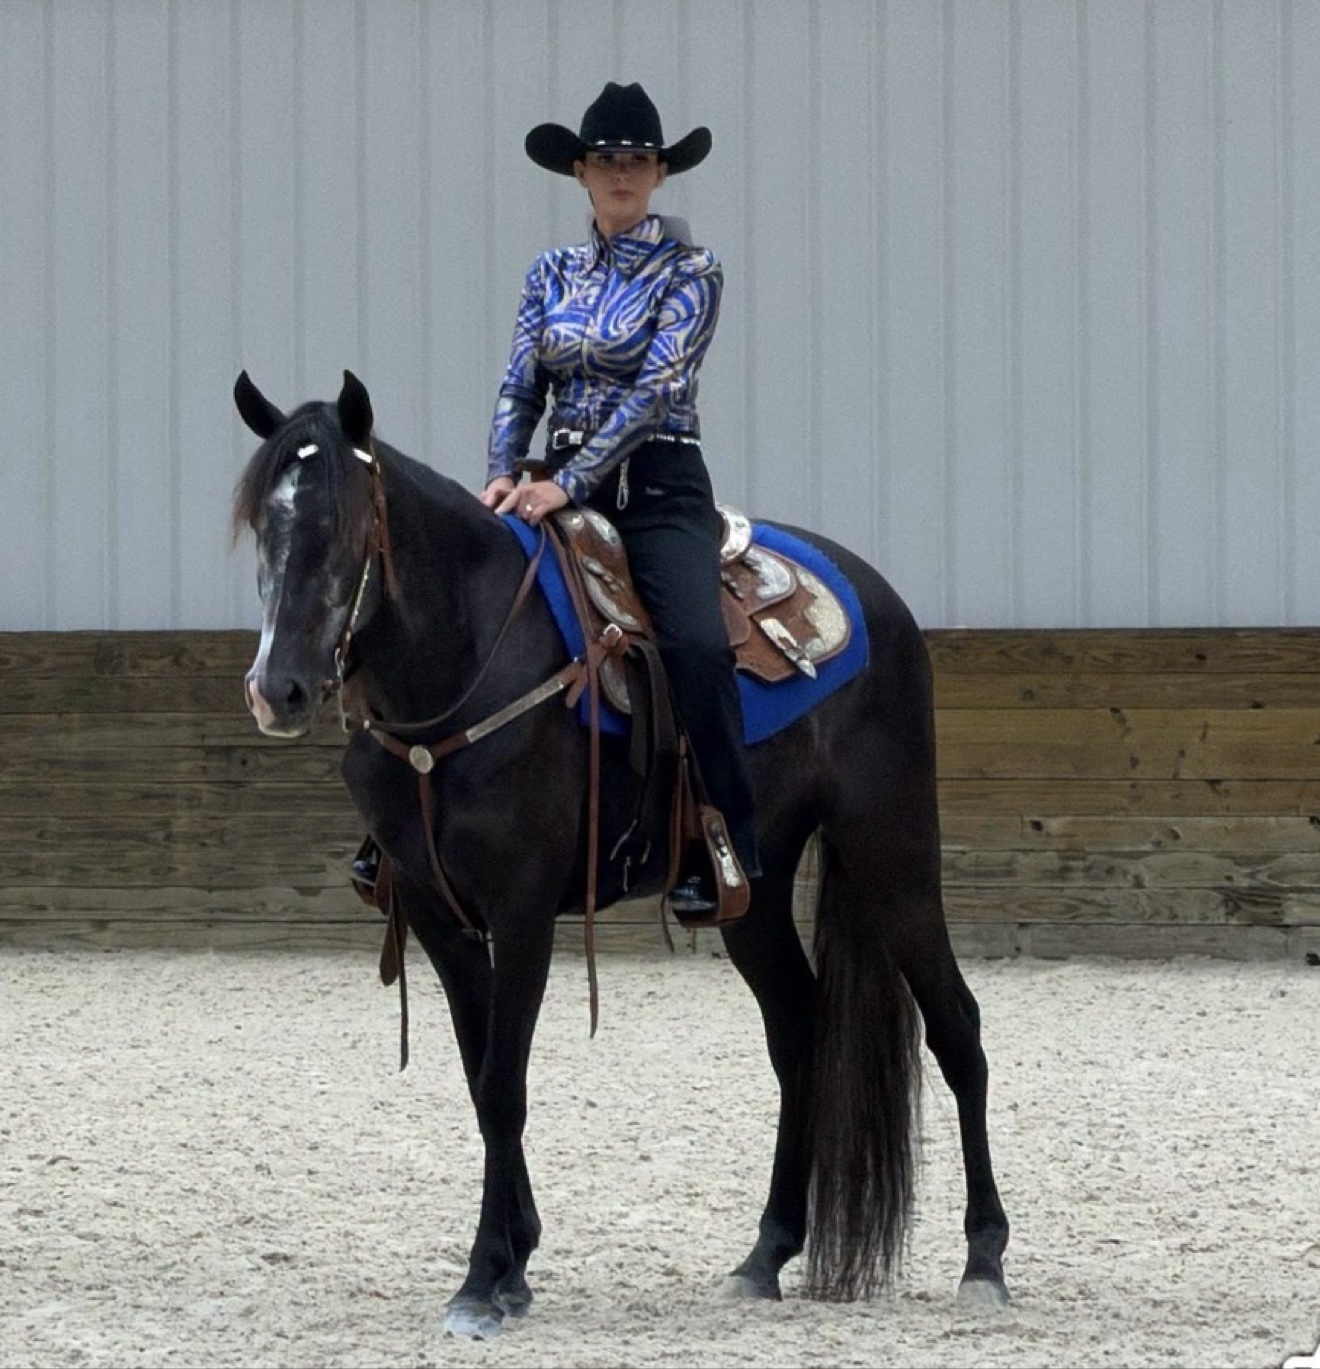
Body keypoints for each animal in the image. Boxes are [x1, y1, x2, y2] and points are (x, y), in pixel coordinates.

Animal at [231, 369, 1010, 1339]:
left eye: (339, 526)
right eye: (262, 525)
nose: (279, 689)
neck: (466, 668)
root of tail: (880, 600)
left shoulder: (523, 909)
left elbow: (504, 1083)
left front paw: (483, 1280)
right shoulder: (441, 915)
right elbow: (479, 1077)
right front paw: (515, 1259)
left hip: (892, 855)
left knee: (958, 1029)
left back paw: (984, 1259)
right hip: (751, 889)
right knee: (799, 1028)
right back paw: (765, 1254)